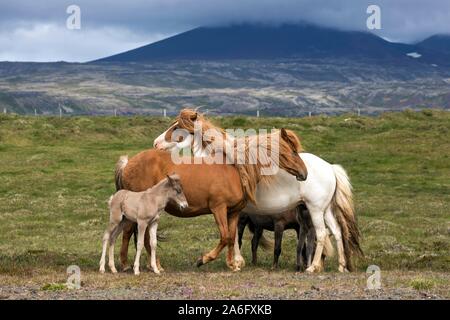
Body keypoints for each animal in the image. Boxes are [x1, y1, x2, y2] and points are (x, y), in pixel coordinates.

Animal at [115, 129, 310, 272]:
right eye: (293, 151)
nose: (304, 173)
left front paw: (232, 264)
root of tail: (128, 163)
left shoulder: (234, 212)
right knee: (131, 233)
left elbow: (231, 237)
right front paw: (203, 259)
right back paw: (135, 265)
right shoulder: (218, 209)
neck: (236, 169)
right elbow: (224, 237)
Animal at [153, 109, 364, 272]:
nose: (156, 143)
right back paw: (341, 266)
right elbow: (233, 237)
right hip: (325, 210)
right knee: (337, 232)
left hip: (315, 210)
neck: (227, 162)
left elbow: (231, 236)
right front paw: (237, 262)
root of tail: (331, 168)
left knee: (321, 235)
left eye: (176, 128)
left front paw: (232, 261)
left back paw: (312, 267)